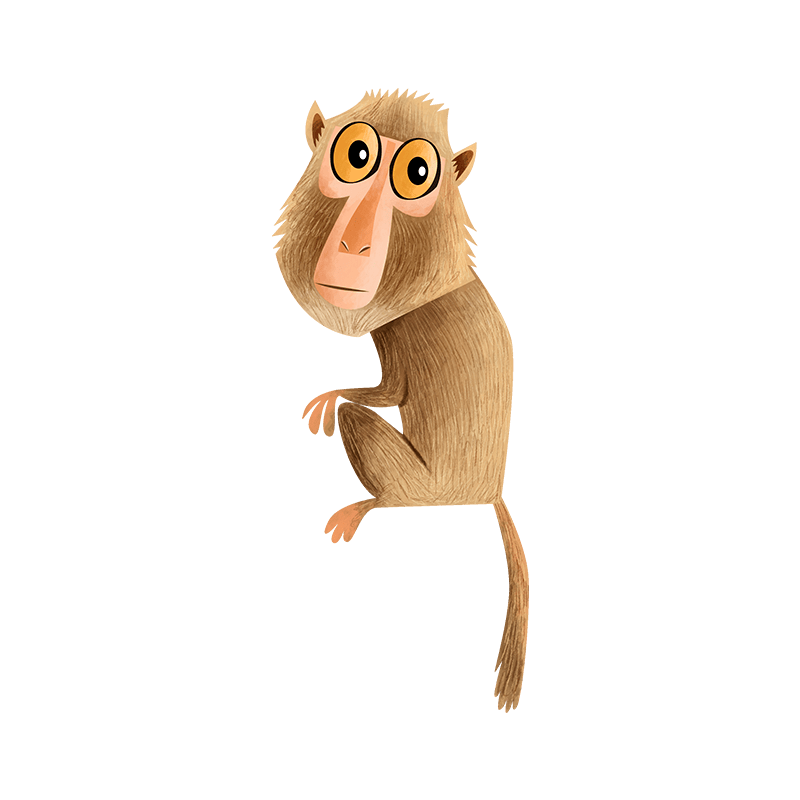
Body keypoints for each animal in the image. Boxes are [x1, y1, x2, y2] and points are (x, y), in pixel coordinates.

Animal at [274, 90, 528, 712]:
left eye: (416, 174)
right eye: (356, 156)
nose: (355, 244)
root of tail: (487, 490)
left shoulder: (402, 330)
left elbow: (390, 394)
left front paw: (332, 395)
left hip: (427, 487)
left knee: (372, 443)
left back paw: (370, 504)